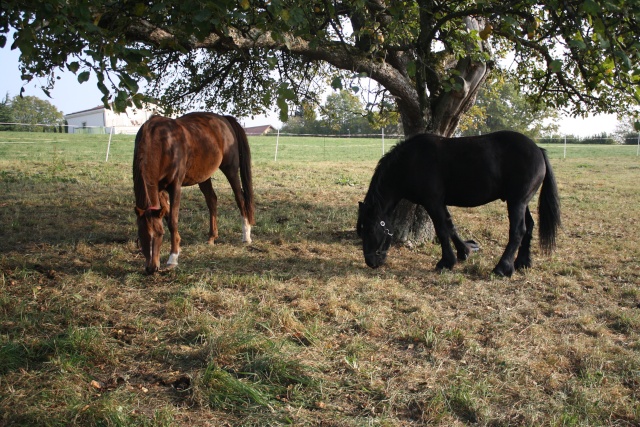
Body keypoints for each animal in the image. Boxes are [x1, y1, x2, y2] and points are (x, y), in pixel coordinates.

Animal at [133, 112, 255, 276]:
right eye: (141, 234)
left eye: (160, 234)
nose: (152, 268)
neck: (162, 142)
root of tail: (223, 118)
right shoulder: (159, 189)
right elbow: (167, 215)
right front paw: (178, 244)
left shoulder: (175, 186)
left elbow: (173, 221)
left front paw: (173, 258)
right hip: (203, 175)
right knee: (212, 200)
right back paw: (212, 237)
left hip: (231, 169)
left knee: (240, 198)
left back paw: (246, 235)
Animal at [358, 130, 564, 278]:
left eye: (370, 229)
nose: (370, 262)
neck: (411, 161)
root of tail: (538, 149)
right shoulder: (439, 203)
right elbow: (450, 226)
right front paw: (464, 251)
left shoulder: (432, 202)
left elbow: (442, 229)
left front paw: (446, 262)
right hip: (522, 202)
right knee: (529, 226)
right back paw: (522, 262)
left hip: (516, 203)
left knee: (518, 231)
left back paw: (502, 268)